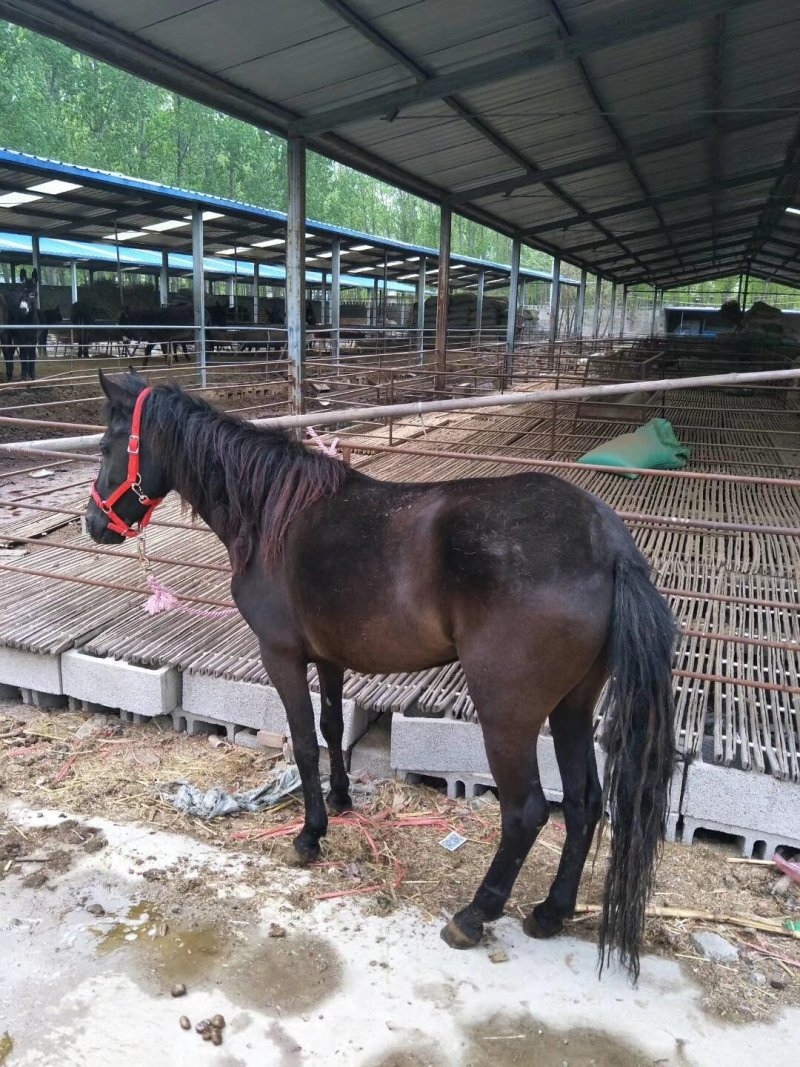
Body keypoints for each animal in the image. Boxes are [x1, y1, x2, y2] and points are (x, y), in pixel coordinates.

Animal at [86, 370, 677, 980]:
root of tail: (609, 545)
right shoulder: (328, 658)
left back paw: (474, 915)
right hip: (572, 707)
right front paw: (341, 802)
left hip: (508, 716)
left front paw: (310, 836)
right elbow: (331, 730)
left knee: (528, 811)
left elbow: (303, 744)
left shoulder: (281, 655)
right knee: (585, 802)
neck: (273, 514)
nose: (93, 523)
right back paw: (550, 912)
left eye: (106, 447)